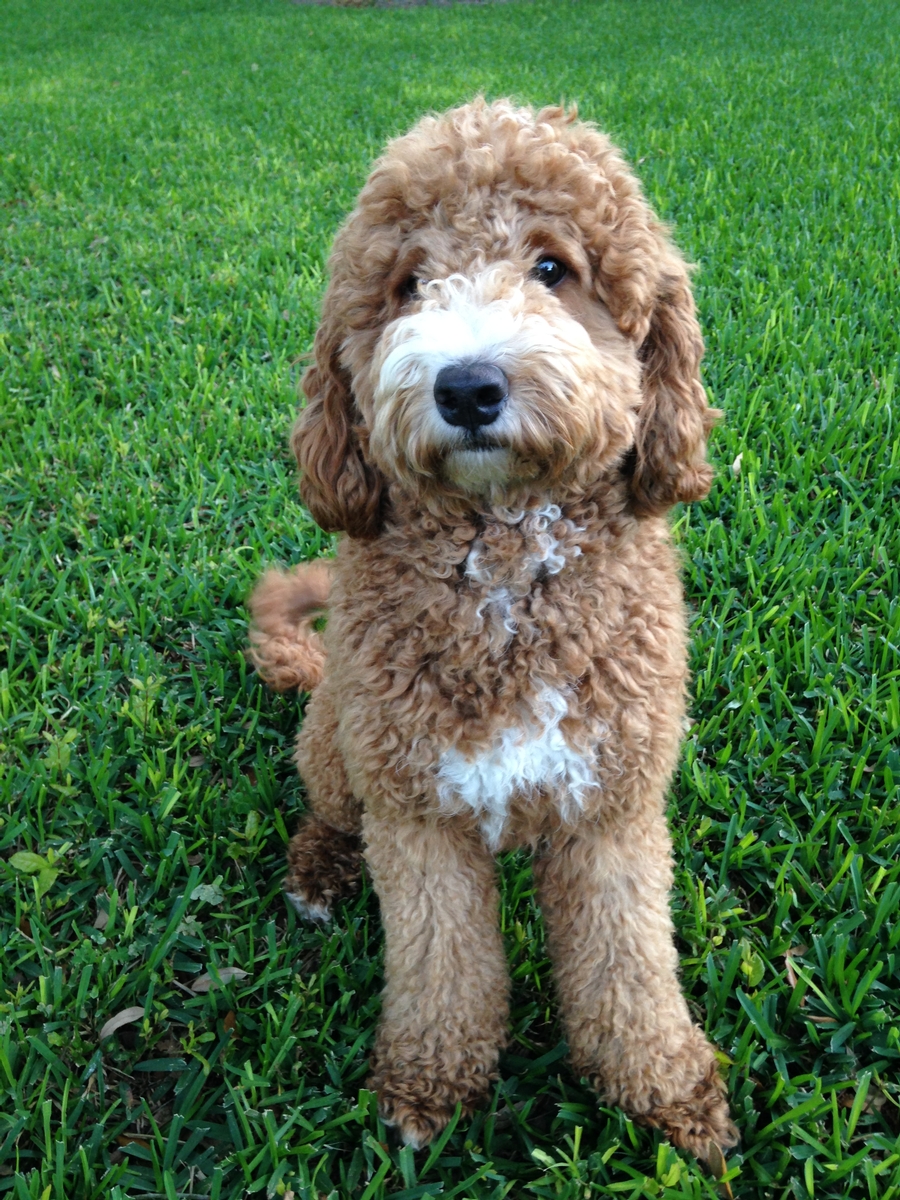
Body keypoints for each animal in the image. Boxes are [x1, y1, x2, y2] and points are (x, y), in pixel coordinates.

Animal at [252, 98, 739, 1156]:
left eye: (553, 268)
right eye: (408, 284)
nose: (467, 386)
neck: (508, 561)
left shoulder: (611, 803)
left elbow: (629, 963)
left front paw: (666, 1089)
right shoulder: (417, 812)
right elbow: (442, 966)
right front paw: (429, 1088)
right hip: (340, 740)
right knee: (327, 807)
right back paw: (319, 869)